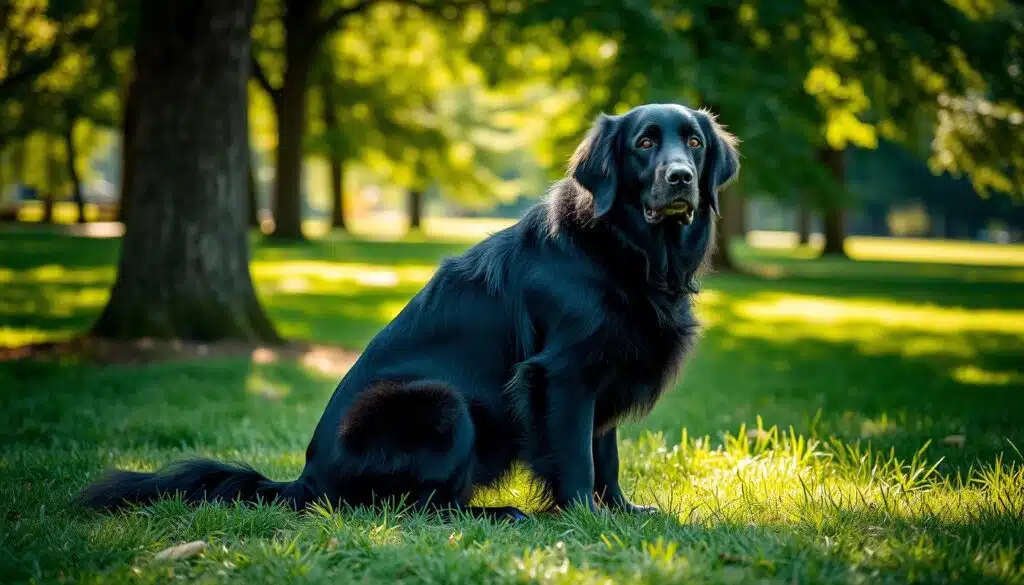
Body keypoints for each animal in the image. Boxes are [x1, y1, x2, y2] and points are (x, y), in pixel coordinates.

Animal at [79, 102, 737, 520]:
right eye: (644, 142)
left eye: (695, 143)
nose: (681, 178)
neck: (624, 249)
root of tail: (306, 481)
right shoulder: (562, 374)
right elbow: (577, 456)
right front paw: (585, 521)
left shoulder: (603, 372)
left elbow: (607, 455)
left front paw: (623, 511)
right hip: (440, 402)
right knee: (418, 508)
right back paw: (500, 514)